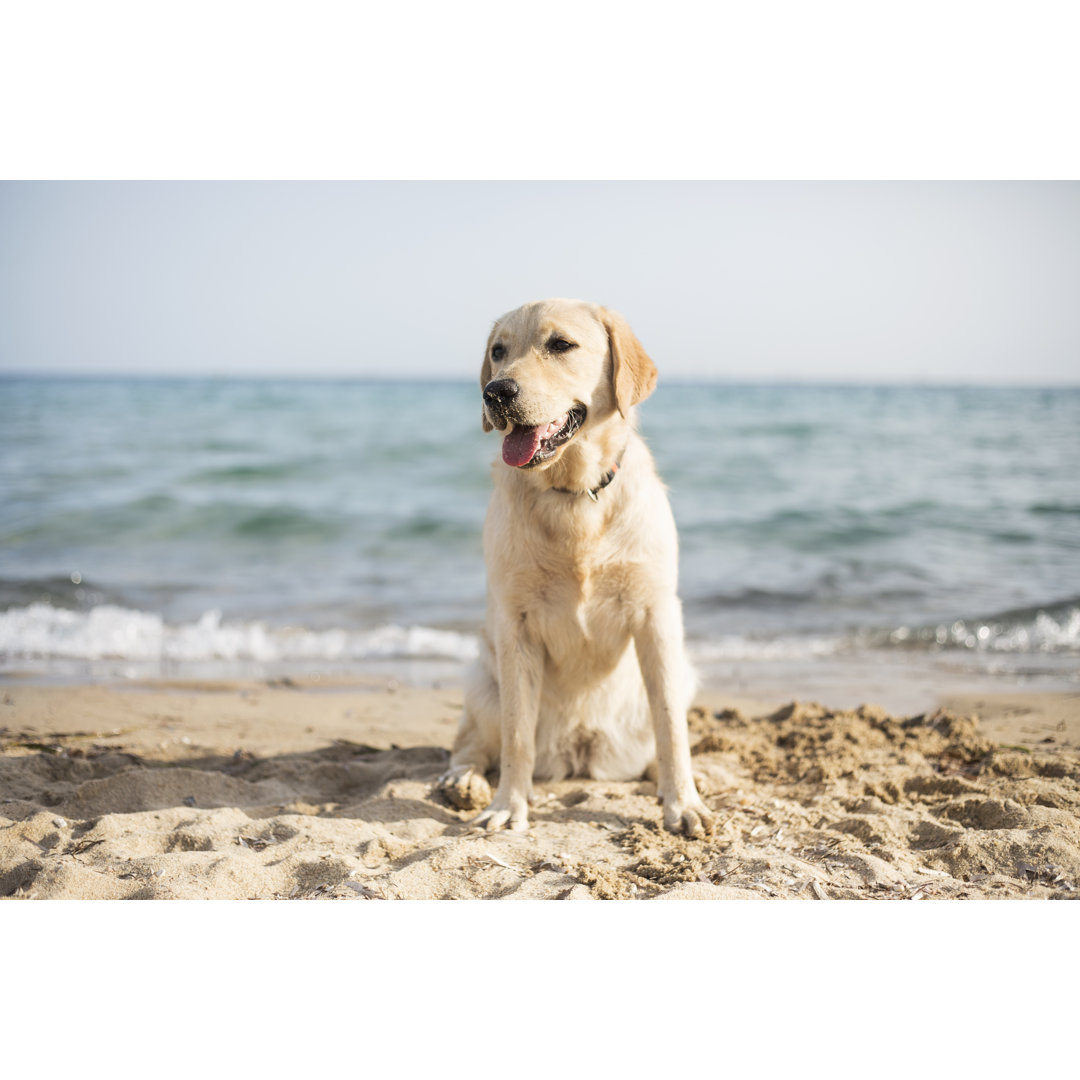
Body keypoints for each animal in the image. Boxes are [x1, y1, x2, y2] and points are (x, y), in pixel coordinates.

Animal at [438, 300, 708, 838]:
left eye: (560, 344)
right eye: (498, 351)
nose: (496, 392)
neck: (573, 495)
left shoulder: (656, 615)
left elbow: (672, 726)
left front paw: (682, 803)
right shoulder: (516, 624)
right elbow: (516, 734)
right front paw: (508, 806)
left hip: (680, 673)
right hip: (482, 680)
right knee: (472, 743)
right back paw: (464, 782)